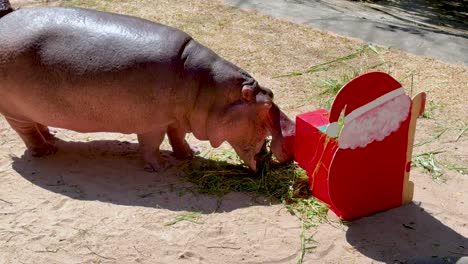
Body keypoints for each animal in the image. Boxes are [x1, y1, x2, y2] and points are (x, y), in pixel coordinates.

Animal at [0, 3, 292, 172]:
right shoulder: (154, 122)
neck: (211, 91)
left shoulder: (177, 118)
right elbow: (152, 144)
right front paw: (160, 167)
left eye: (271, 93)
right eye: (266, 105)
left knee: (36, 124)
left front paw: (189, 155)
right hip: (14, 110)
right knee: (26, 132)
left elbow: (178, 137)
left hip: (33, 106)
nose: (289, 151)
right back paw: (46, 150)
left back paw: (51, 136)